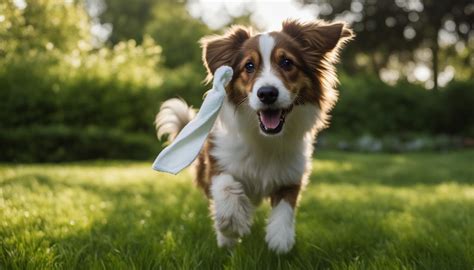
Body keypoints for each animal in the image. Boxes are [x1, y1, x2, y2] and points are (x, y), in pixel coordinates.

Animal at [156, 19, 352, 253]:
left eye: (287, 62)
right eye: (249, 66)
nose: (267, 93)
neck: (265, 138)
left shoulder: (291, 173)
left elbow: (286, 206)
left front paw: (280, 240)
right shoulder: (218, 161)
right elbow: (226, 187)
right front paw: (231, 225)